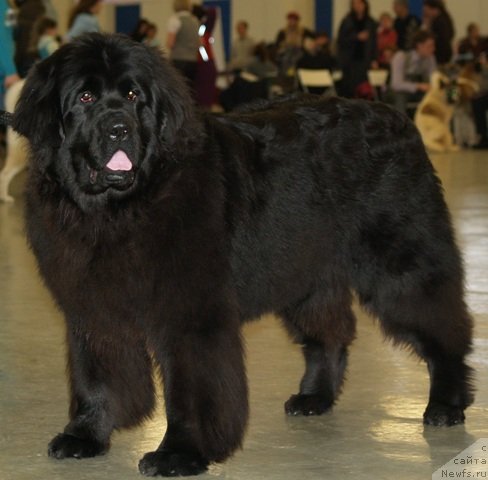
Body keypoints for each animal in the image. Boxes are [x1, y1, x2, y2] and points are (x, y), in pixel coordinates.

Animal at [8, 34, 472, 476]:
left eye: (134, 95)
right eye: (86, 97)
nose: (119, 127)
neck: (119, 211)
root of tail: (396, 117)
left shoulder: (191, 314)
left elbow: (191, 389)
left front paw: (180, 452)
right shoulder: (92, 307)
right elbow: (97, 377)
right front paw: (84, 434)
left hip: (401, 267)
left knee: (442, 325)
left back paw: (446, 404)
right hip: (306, 270)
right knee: (329, 332)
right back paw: (314, 397)